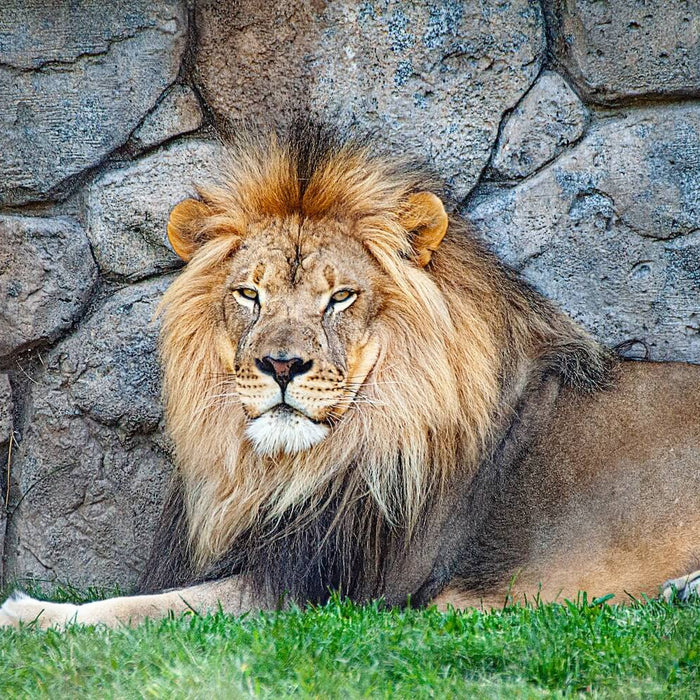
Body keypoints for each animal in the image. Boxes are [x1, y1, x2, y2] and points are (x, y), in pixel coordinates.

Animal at [1, 123, 700, 628]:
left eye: (340, 298)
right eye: (250, 294)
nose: (282, 365)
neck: (283, 470)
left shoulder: (318, 589)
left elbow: (143, 607)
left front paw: (32, 612)